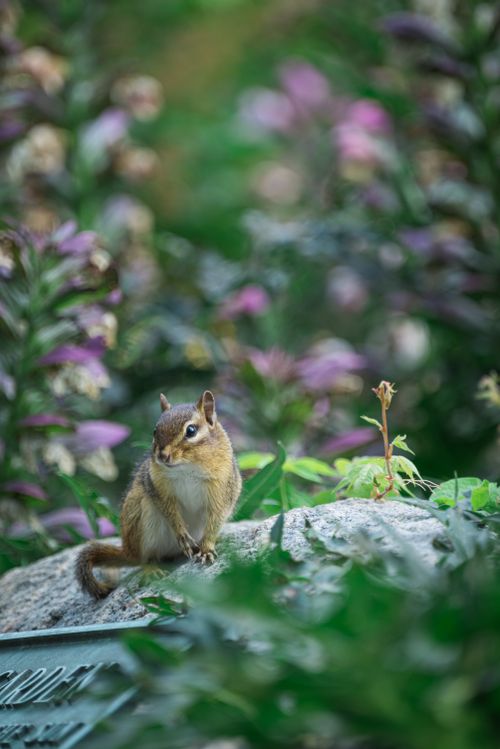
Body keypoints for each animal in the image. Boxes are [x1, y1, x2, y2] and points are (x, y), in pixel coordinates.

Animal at [76, 390, 242, 599]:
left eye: (191, 431)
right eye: (155, 431)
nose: (162, 456)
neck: (187, 467)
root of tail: (128, 550)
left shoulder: (222, 488)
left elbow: (216, 517)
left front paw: (207, 549)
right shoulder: (158, 487)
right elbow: (168, 510)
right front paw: (181, 533)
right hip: (142, 519)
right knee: (145, 558)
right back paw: (151, 569)